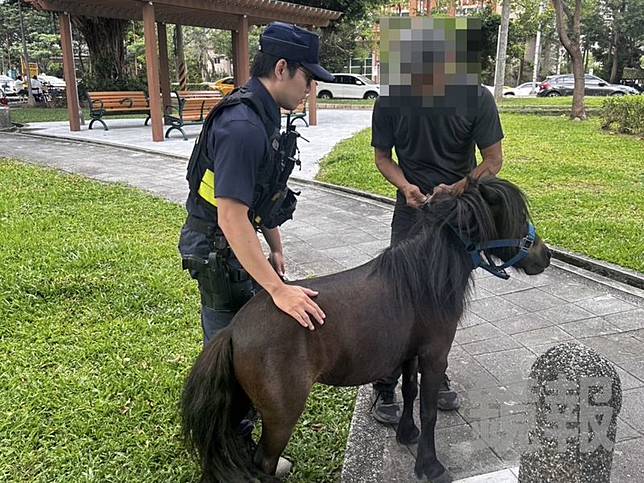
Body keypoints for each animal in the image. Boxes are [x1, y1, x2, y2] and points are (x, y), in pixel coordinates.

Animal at [181, 176, 551, 482]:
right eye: (518, 217)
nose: (544, 256)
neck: (421, 281)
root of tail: (232, 331)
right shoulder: (434, 354)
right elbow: (429, 410)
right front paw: (429, 466)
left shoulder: (410, 354)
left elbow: (409, 392)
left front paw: (406, 433)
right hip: (280, 418)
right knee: (262, 463)